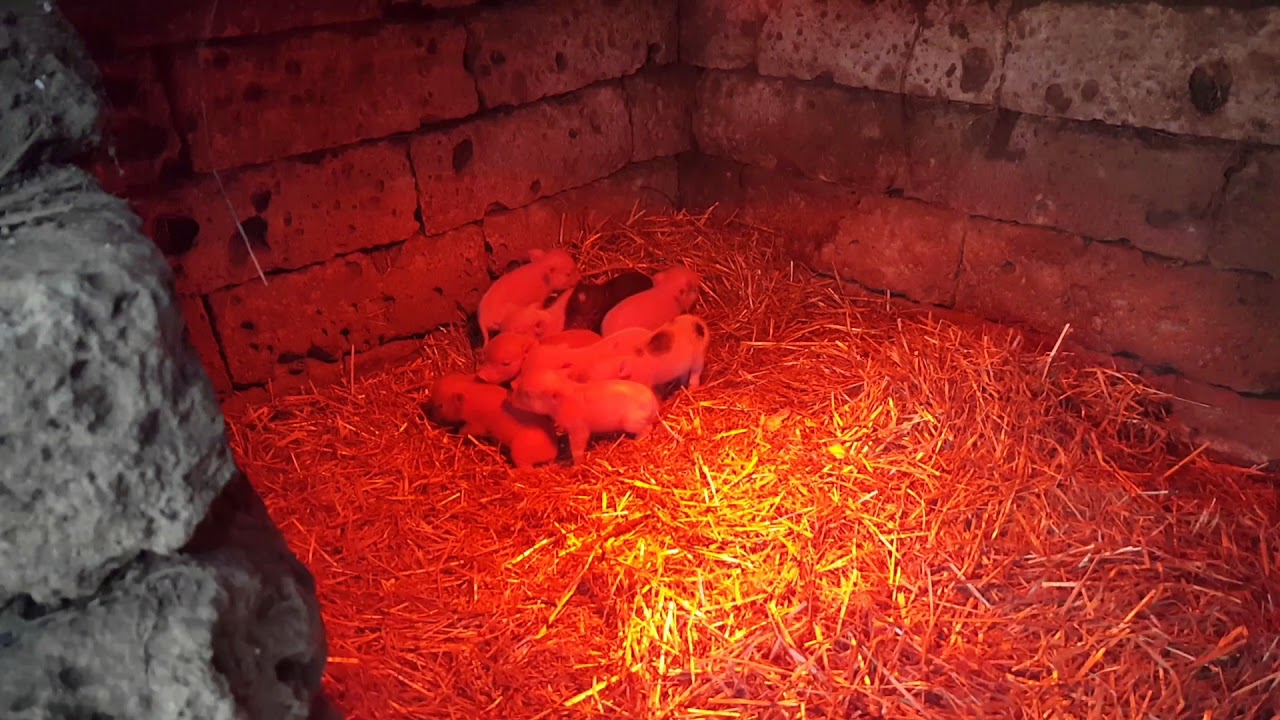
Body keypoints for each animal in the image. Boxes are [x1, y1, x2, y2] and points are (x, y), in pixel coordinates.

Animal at [425, 373, 559, 469]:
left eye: (440, 405)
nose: (430, 415)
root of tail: (553, 452)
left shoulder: (477, 424)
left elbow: (466, 431)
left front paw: (457, 434)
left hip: (520, 452)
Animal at [509, 367, 661, 464]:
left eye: (527, 394)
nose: (509, 400)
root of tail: (654, 403)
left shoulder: (578, 428)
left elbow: (577, 447)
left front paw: (575, 466)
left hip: (632, 422)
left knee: (648, 428)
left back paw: (636, 441)